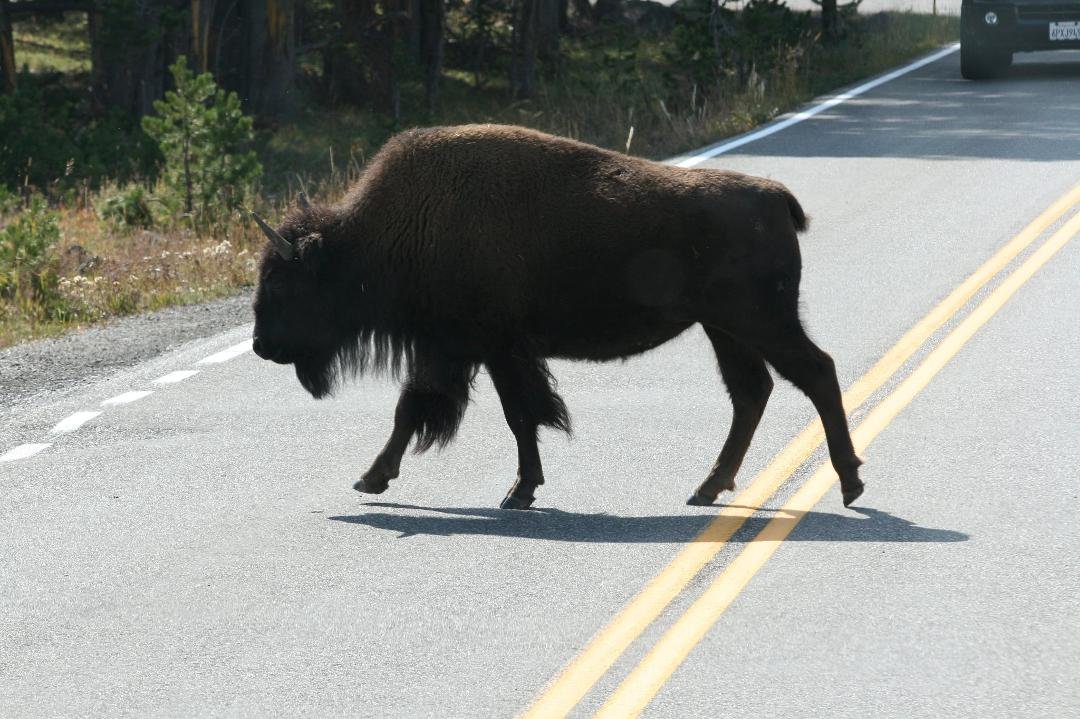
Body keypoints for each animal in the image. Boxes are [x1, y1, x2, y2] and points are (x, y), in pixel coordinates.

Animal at [250, 124, 864, 509]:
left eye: (281, 282)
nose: (260, 345)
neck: (386, 234)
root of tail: (773, 195)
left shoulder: (483, 349)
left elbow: (503, 414)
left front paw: (514, 492)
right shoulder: (468, 352)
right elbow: (435, 411)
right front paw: (375, 478)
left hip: (762, 323)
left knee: (814, 372)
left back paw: (850, 483)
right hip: (726, 330)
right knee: (752, 391)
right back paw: (706, 489)